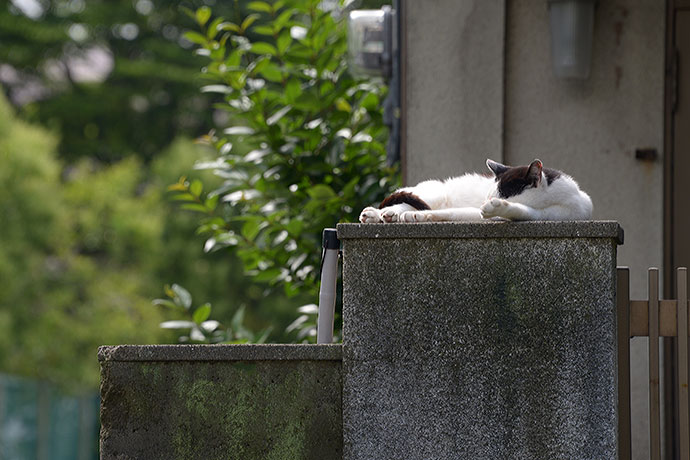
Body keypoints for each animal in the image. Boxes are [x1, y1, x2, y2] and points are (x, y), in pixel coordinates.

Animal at [358, 158, 588, 223]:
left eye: (501, 195)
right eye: (488, 195)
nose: (484, 204)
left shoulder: (537, 215)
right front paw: (418, 216)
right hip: (433, 193)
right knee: (403, 202)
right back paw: (378, 214)